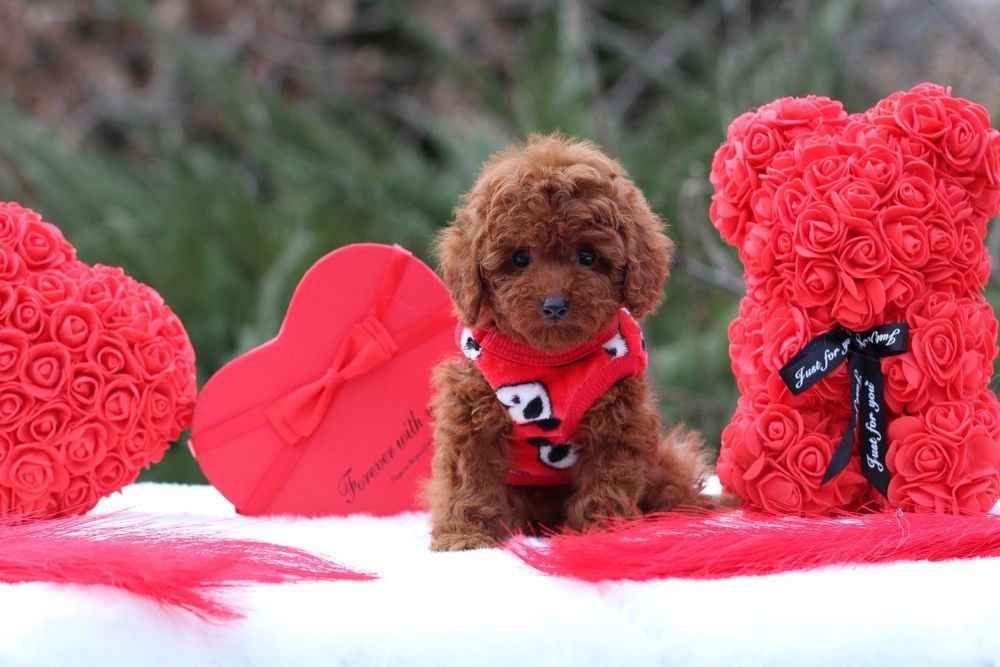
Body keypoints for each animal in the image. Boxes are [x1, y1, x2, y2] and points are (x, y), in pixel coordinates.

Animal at [426, 133, 708, 552]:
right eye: (520, 258)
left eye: (587, 256)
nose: (555, 305)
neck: (549, 360)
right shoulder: (472, 409)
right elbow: (468, 476)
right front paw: (465, 538)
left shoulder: (615, 417)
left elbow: (607, 477)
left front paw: (601, 530)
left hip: (670, 461)